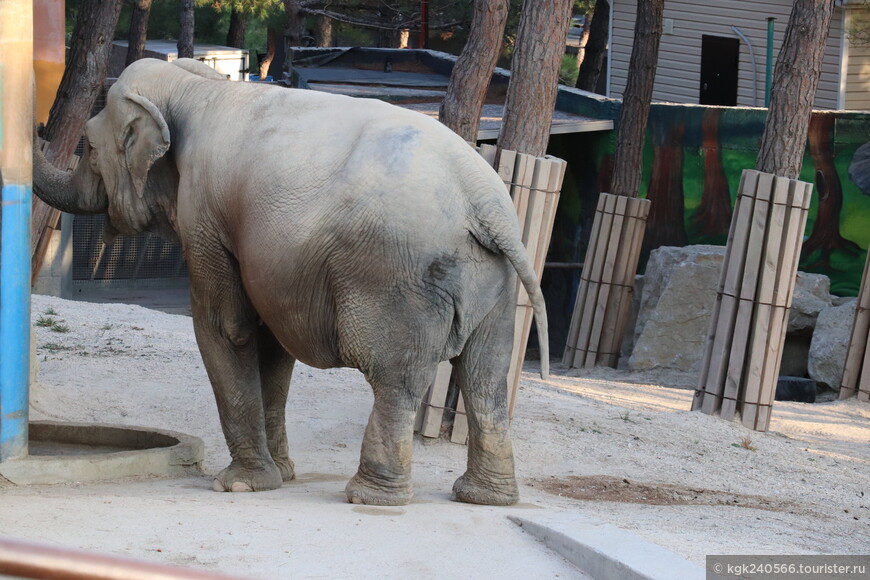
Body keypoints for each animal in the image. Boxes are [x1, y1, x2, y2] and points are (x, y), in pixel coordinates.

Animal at [37, 56, 552, 506]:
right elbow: (272, 343)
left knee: (397, 379)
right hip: (494, 280)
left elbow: (226, 328)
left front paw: (239, 485)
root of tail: (485, 203)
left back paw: (370, 497)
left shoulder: (204, 215)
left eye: (88, 147)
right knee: (485, 379)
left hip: (399, 278)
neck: (195, 87)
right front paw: (281, 475)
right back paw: (484, 497)